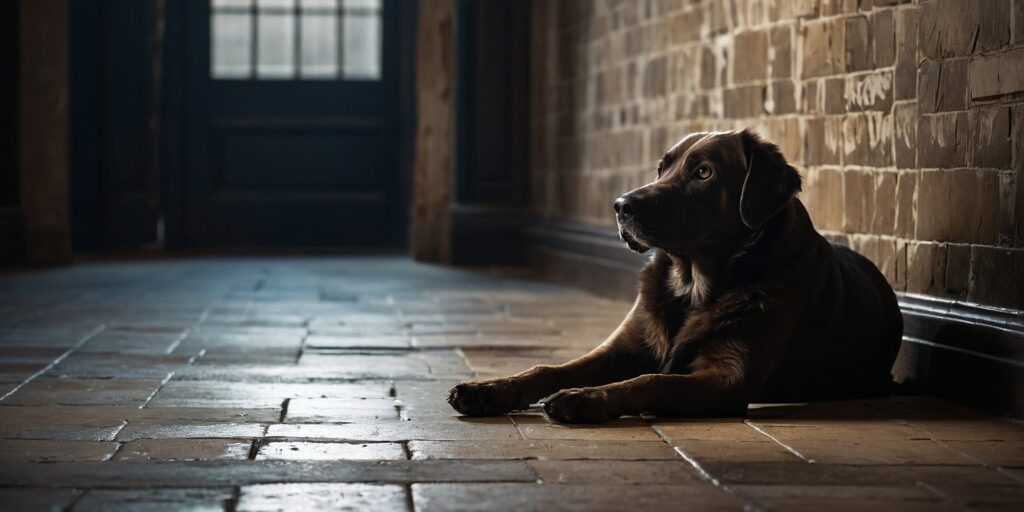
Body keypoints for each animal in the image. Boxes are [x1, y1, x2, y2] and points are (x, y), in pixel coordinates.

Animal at [448, 130, 905, 421]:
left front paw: (585, 397)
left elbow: (651, 380)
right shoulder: (621, 348)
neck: (694, 285)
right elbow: (547, 368)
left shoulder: (729, 378)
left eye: (704, 172)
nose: (621, 206)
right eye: (661, 168)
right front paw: (487, 389)